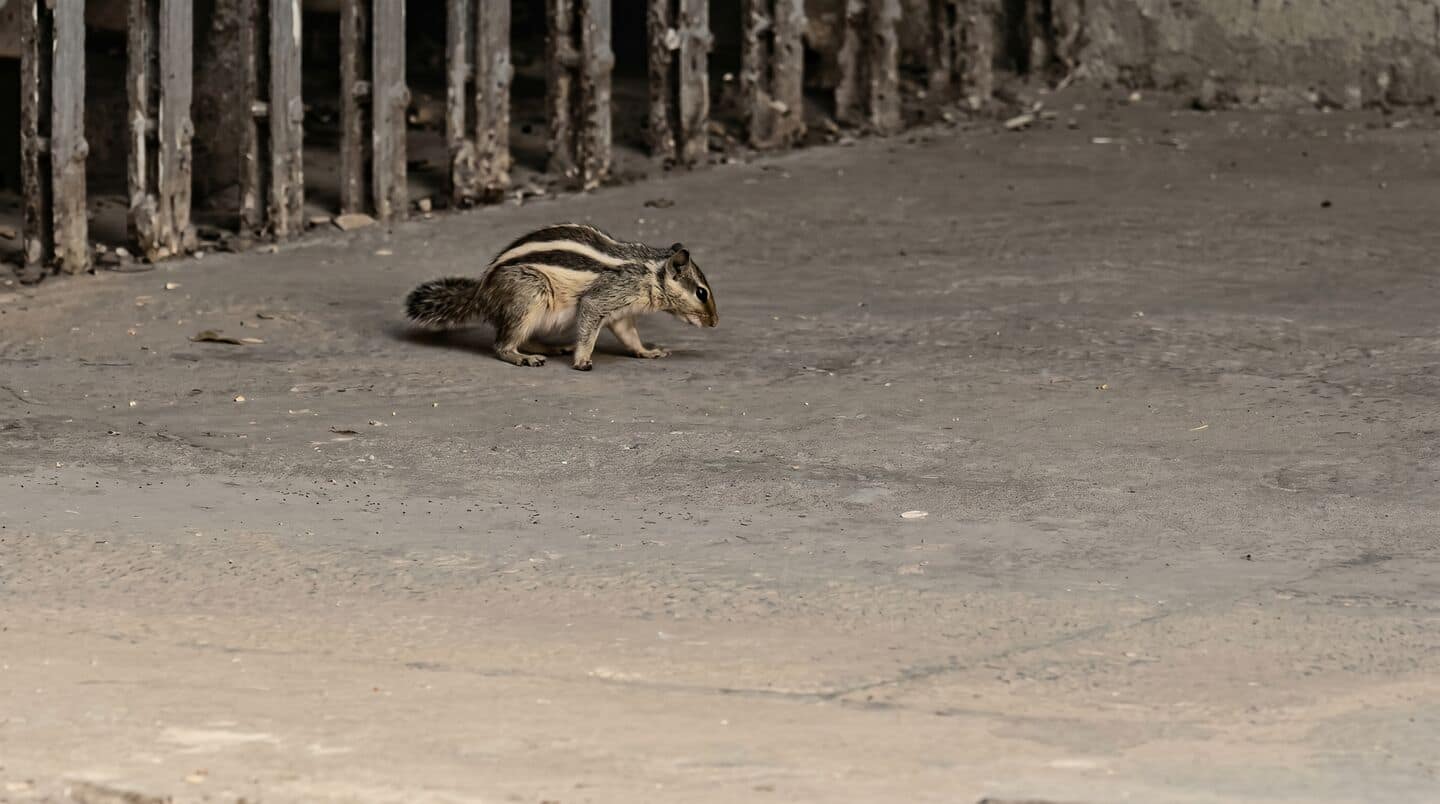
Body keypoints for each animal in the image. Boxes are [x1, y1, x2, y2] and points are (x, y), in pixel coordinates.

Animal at [405, 223, 718, 371]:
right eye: (701, 293)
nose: (715, 322)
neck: (650, 271)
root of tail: (482, 291)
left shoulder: (621, 313)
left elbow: (629, 335)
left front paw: (647, 351)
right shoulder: (603, 298)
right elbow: (589, 323)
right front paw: (582, 360)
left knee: (524, 337)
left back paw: (549, 348)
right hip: (531, 293)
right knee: (502, 344)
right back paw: (522, 357)